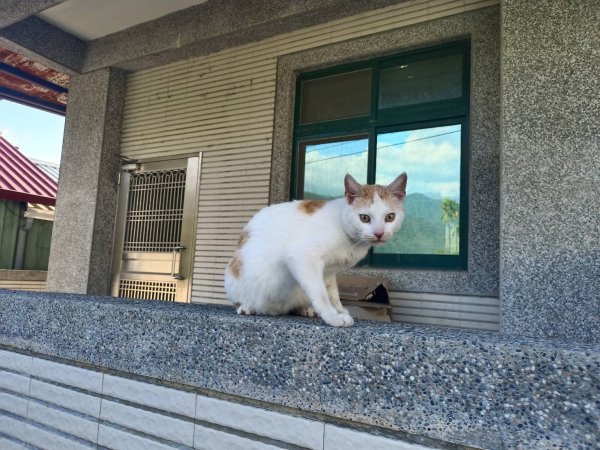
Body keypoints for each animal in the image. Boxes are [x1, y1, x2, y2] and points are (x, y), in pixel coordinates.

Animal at [225, 173, 408, 326]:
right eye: (364, 218)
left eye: (389, 217)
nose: (379, 233)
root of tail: (274, 310)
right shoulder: (303, 257)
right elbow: (321, 294)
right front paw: (333, 316)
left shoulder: (329, 272)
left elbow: (332, 294)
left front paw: (338, 310)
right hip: (232, 276)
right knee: (241, 301)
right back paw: (247, 307)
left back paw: (305, 309)